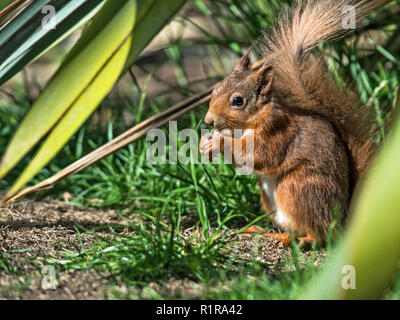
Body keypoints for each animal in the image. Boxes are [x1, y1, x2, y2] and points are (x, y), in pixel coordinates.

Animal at [198, 0, 380, 245]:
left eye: (237, 101)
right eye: (215, 88)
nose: (209, 120)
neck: (252, 120)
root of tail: (342, 219)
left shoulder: (277, 131)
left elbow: (257, 154)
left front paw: (218, 143)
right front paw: (204, 142)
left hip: (297, 188)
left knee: (319, 232)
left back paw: (303, 239)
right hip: (270, 201)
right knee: (293, 228)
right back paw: (266, 232)